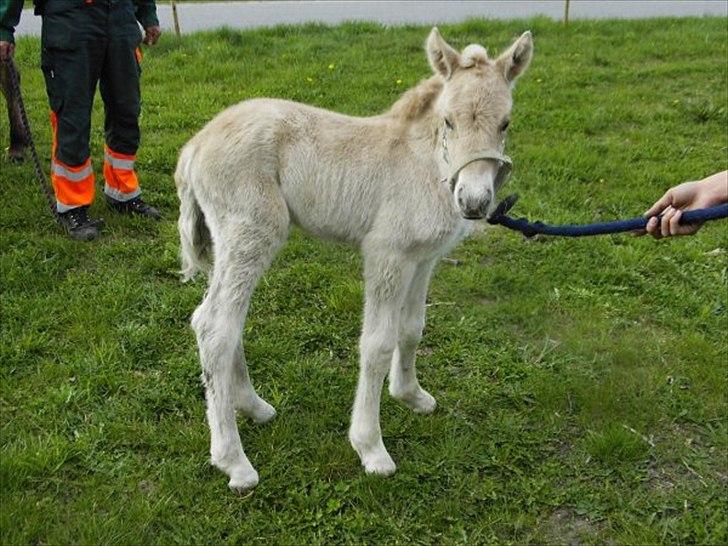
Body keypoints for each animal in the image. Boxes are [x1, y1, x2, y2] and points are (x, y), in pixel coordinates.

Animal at [174, 28, 532, 488]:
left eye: (505, 123)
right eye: (449, 121)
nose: (473, 202)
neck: (424, 163)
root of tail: (195, 147)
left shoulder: (423, 259)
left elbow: (412, 328)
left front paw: (412, 396)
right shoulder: (387, 254)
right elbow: (376, 343)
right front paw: (370, 447)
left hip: (231, 243)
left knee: (226, 320)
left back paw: (254, 408)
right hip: (251, 233)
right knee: (215, 326)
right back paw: (233, 460)